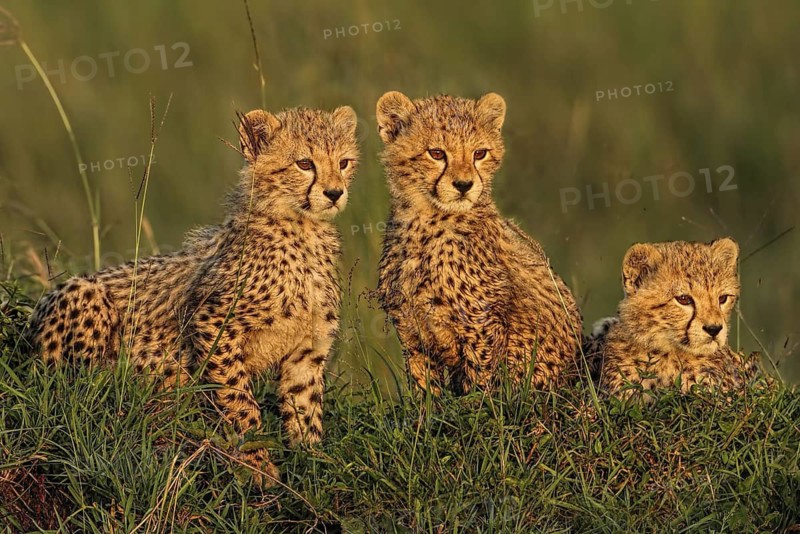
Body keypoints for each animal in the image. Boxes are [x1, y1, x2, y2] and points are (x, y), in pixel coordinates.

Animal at [26, 104, 360, 485]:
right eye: (304, 163)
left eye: (344, 162)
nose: (334, 193)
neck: (303, 229)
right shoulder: (212, 323)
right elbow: (239, 400)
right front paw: (256, 464)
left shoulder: (307, 348)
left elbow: (306, 409)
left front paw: (314, 466)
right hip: (85, 294)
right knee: (79, 384)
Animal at [375, 91, 582, 395]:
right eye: (437, 153)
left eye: (479, 154)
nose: (464, 185)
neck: (425, 221)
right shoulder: (411, 329)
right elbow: (425, 392)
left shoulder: (482, 324)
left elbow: (479, 385)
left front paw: (475, 402)